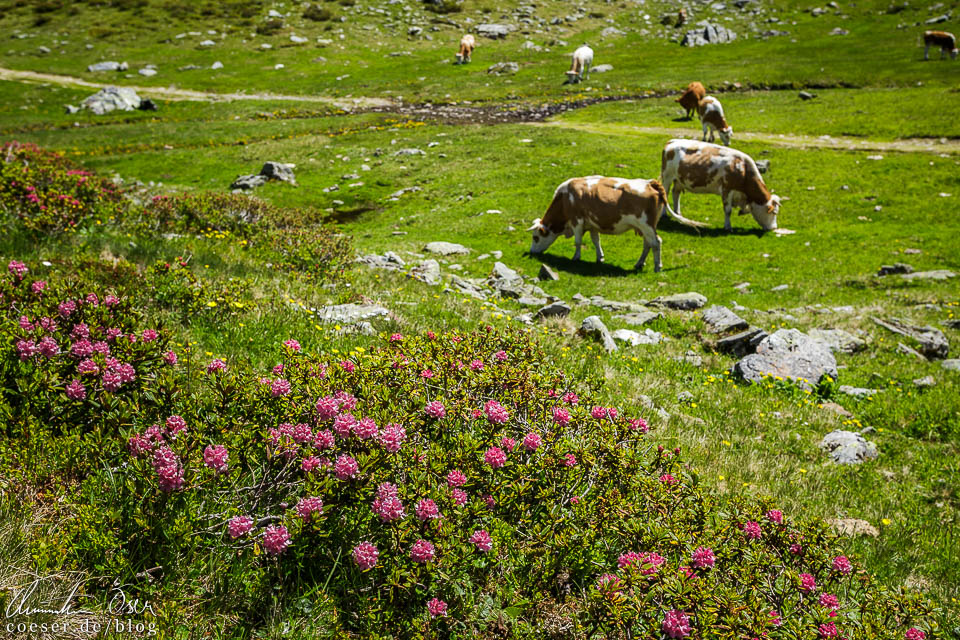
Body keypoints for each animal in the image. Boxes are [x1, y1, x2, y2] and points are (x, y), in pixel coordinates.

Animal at [528, 175, 700, 272]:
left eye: (535, 237)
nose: (531, 252)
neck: (565, 199)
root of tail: (650, 183)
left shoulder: (577, 221)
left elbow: (577, 242)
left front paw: (576, 258)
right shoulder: (592, 224)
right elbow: (595, 241)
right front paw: (600, 257)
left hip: (646, 225)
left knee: (656, 243)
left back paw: (657, 267)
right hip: (645, 227)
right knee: (648, 244)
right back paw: (639, 264)